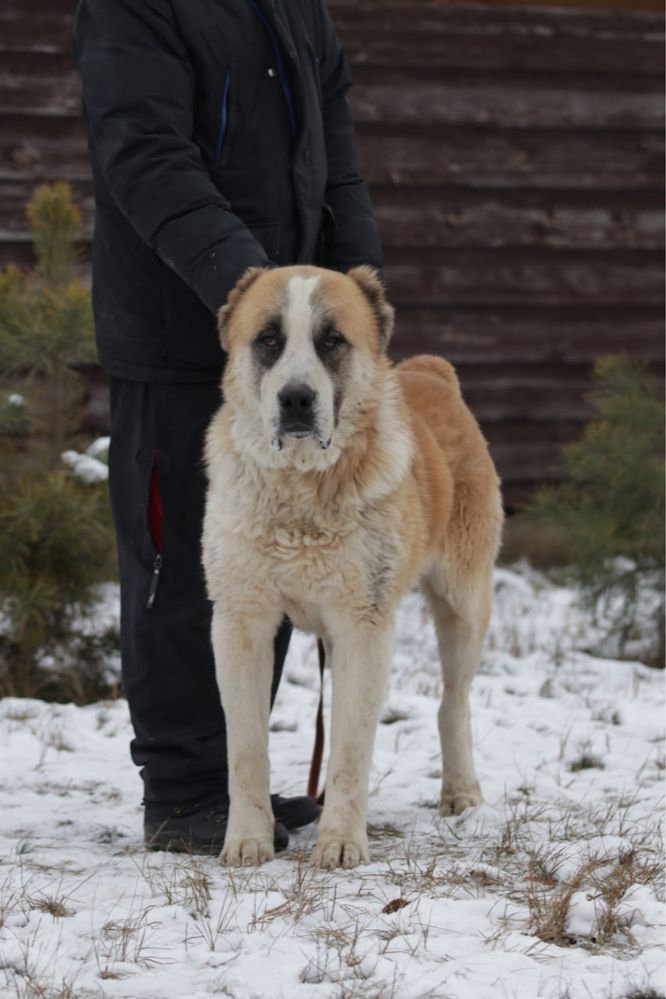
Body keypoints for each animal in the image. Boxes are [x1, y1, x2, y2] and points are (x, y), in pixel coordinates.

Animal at [200, 266, 500, 868]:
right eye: (268, 339)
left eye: (332, 341)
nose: (296, 398)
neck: (300, 489)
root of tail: (431, 371)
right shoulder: (241, 623)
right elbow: (246, 748)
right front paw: (246, 840)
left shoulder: (363, 626)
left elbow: (349, 750)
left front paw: (340, 843)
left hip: (464, 603)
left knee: (452, 701)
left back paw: (461, 792)